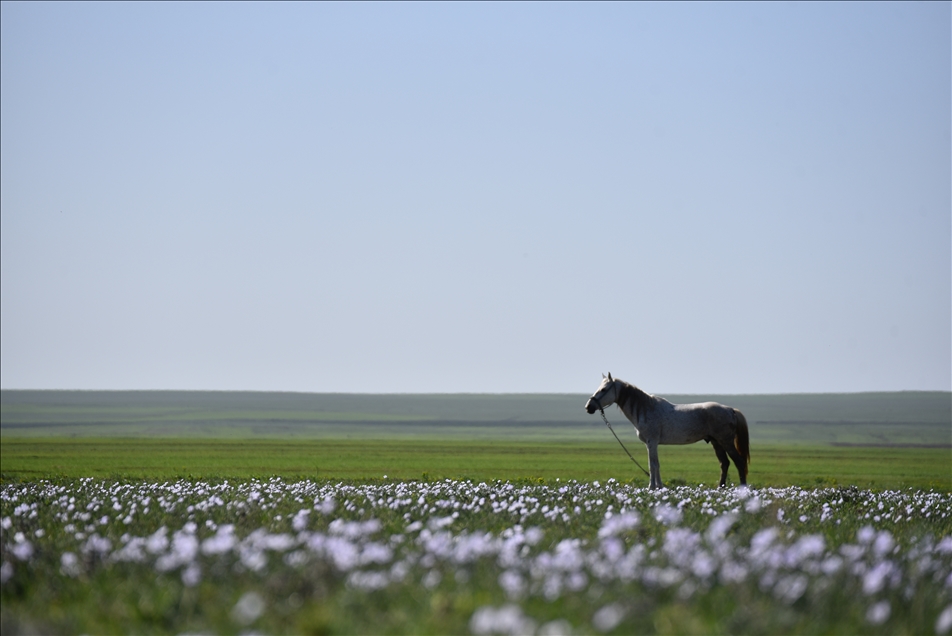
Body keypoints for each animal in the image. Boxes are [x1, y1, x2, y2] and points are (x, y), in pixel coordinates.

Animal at [584, 376, 748, 490]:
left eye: (604, 389)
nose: (588, 407)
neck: (646, 409)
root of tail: (730, 410)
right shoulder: (650, 444)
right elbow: (655, 464)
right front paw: (659, 487)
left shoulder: (652, 442)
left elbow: (652, 465)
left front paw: (652, 487)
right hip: (716, 442)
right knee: (724, 463)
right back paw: (720, 488)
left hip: (726, 442)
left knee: (739, 462)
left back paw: (742, 489)